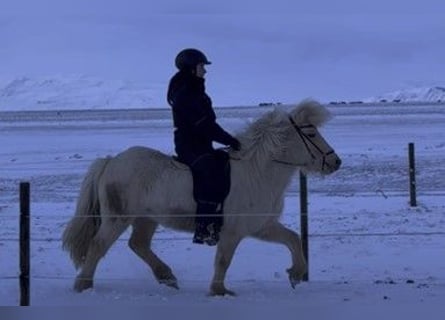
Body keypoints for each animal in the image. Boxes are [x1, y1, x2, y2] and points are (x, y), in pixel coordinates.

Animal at [61, 99, 340, 296]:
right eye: (311, 134)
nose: (336, 162)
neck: (257, 172)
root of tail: (111, 161)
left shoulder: (261, 226)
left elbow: (292, 239)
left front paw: (296, 274)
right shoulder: (233, 232)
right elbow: (223, 260)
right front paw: (219, 291)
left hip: (146, 219)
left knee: (138, 244)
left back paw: (167, 277)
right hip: (118, 217)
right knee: (98, 245)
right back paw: (83, 285)